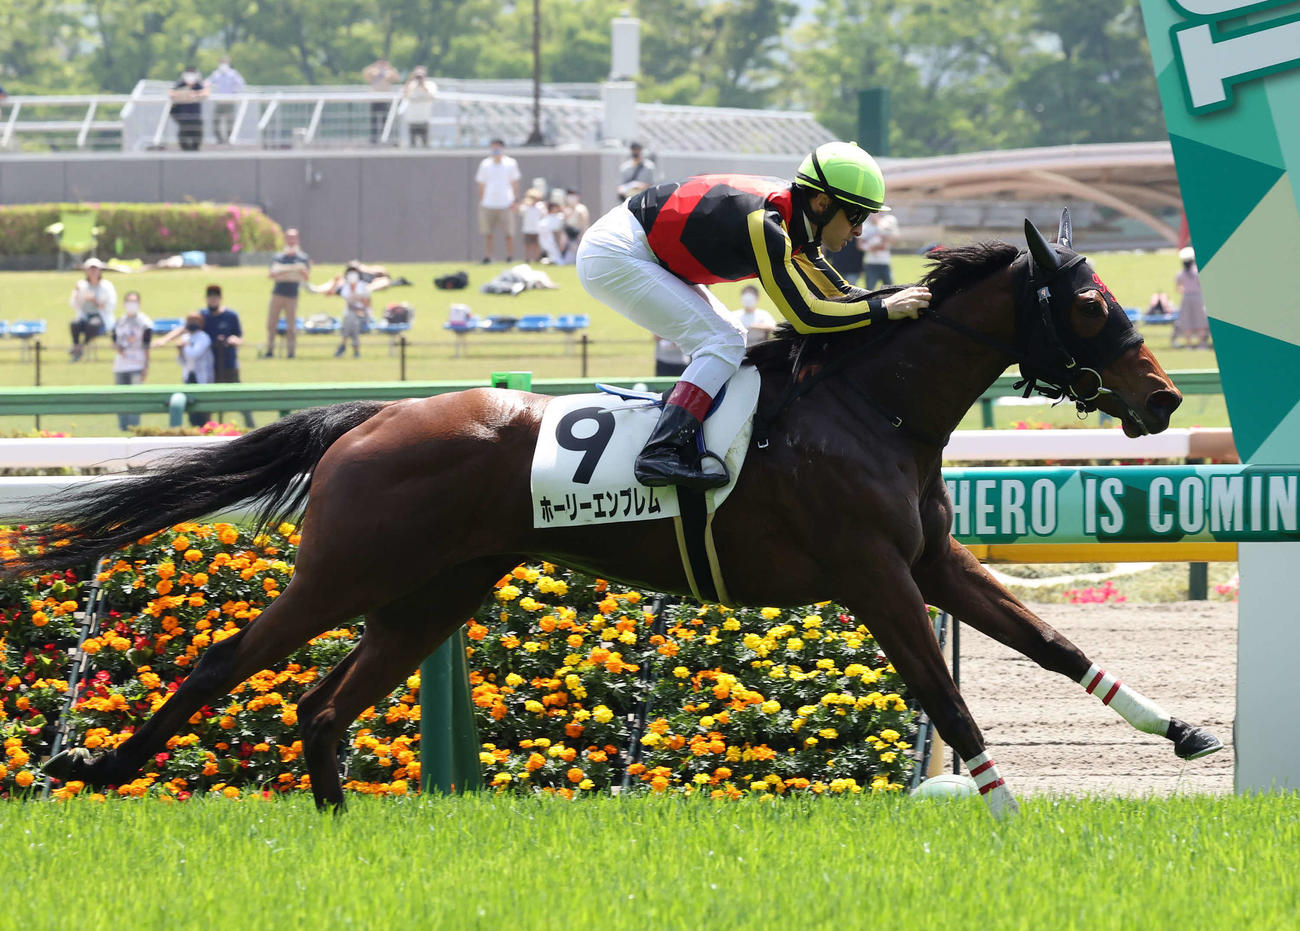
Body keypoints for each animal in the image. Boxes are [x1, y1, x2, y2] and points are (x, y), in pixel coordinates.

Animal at [22, 214, 1221, 817]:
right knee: (226, 663)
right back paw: (95, 772)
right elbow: (944, 692)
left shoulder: (930, 559)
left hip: (434, 593)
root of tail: (372, 416)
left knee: (322, 704)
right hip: (347, 573)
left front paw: (1184, 730)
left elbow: (1052, 642)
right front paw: (1003, 815)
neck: (869, 406)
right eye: (1090, 305)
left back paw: (336, 826)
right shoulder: (871, 575)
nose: (1165, 398)